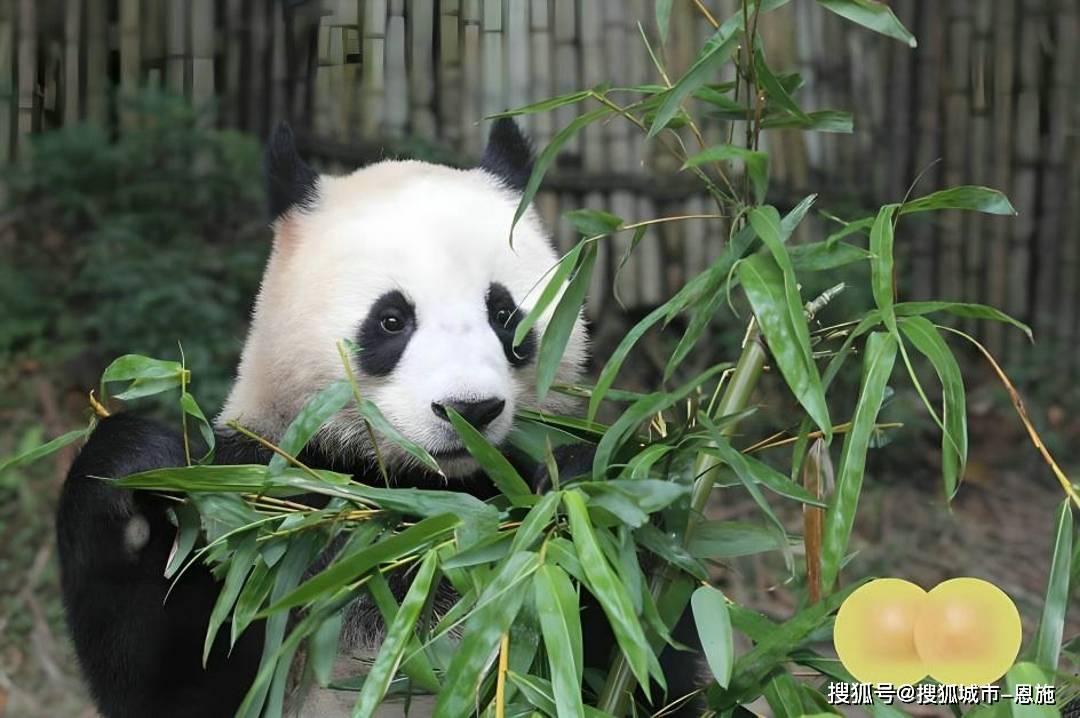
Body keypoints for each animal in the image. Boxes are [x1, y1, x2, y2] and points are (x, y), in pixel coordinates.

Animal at [54, 120, 699, 712]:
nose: (470, 410)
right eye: (391, 320)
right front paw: (136, 476)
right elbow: (176, 670)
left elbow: (639, 667)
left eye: (504, 315)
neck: (416, 493)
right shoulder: (269, 501)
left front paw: (584, 495)